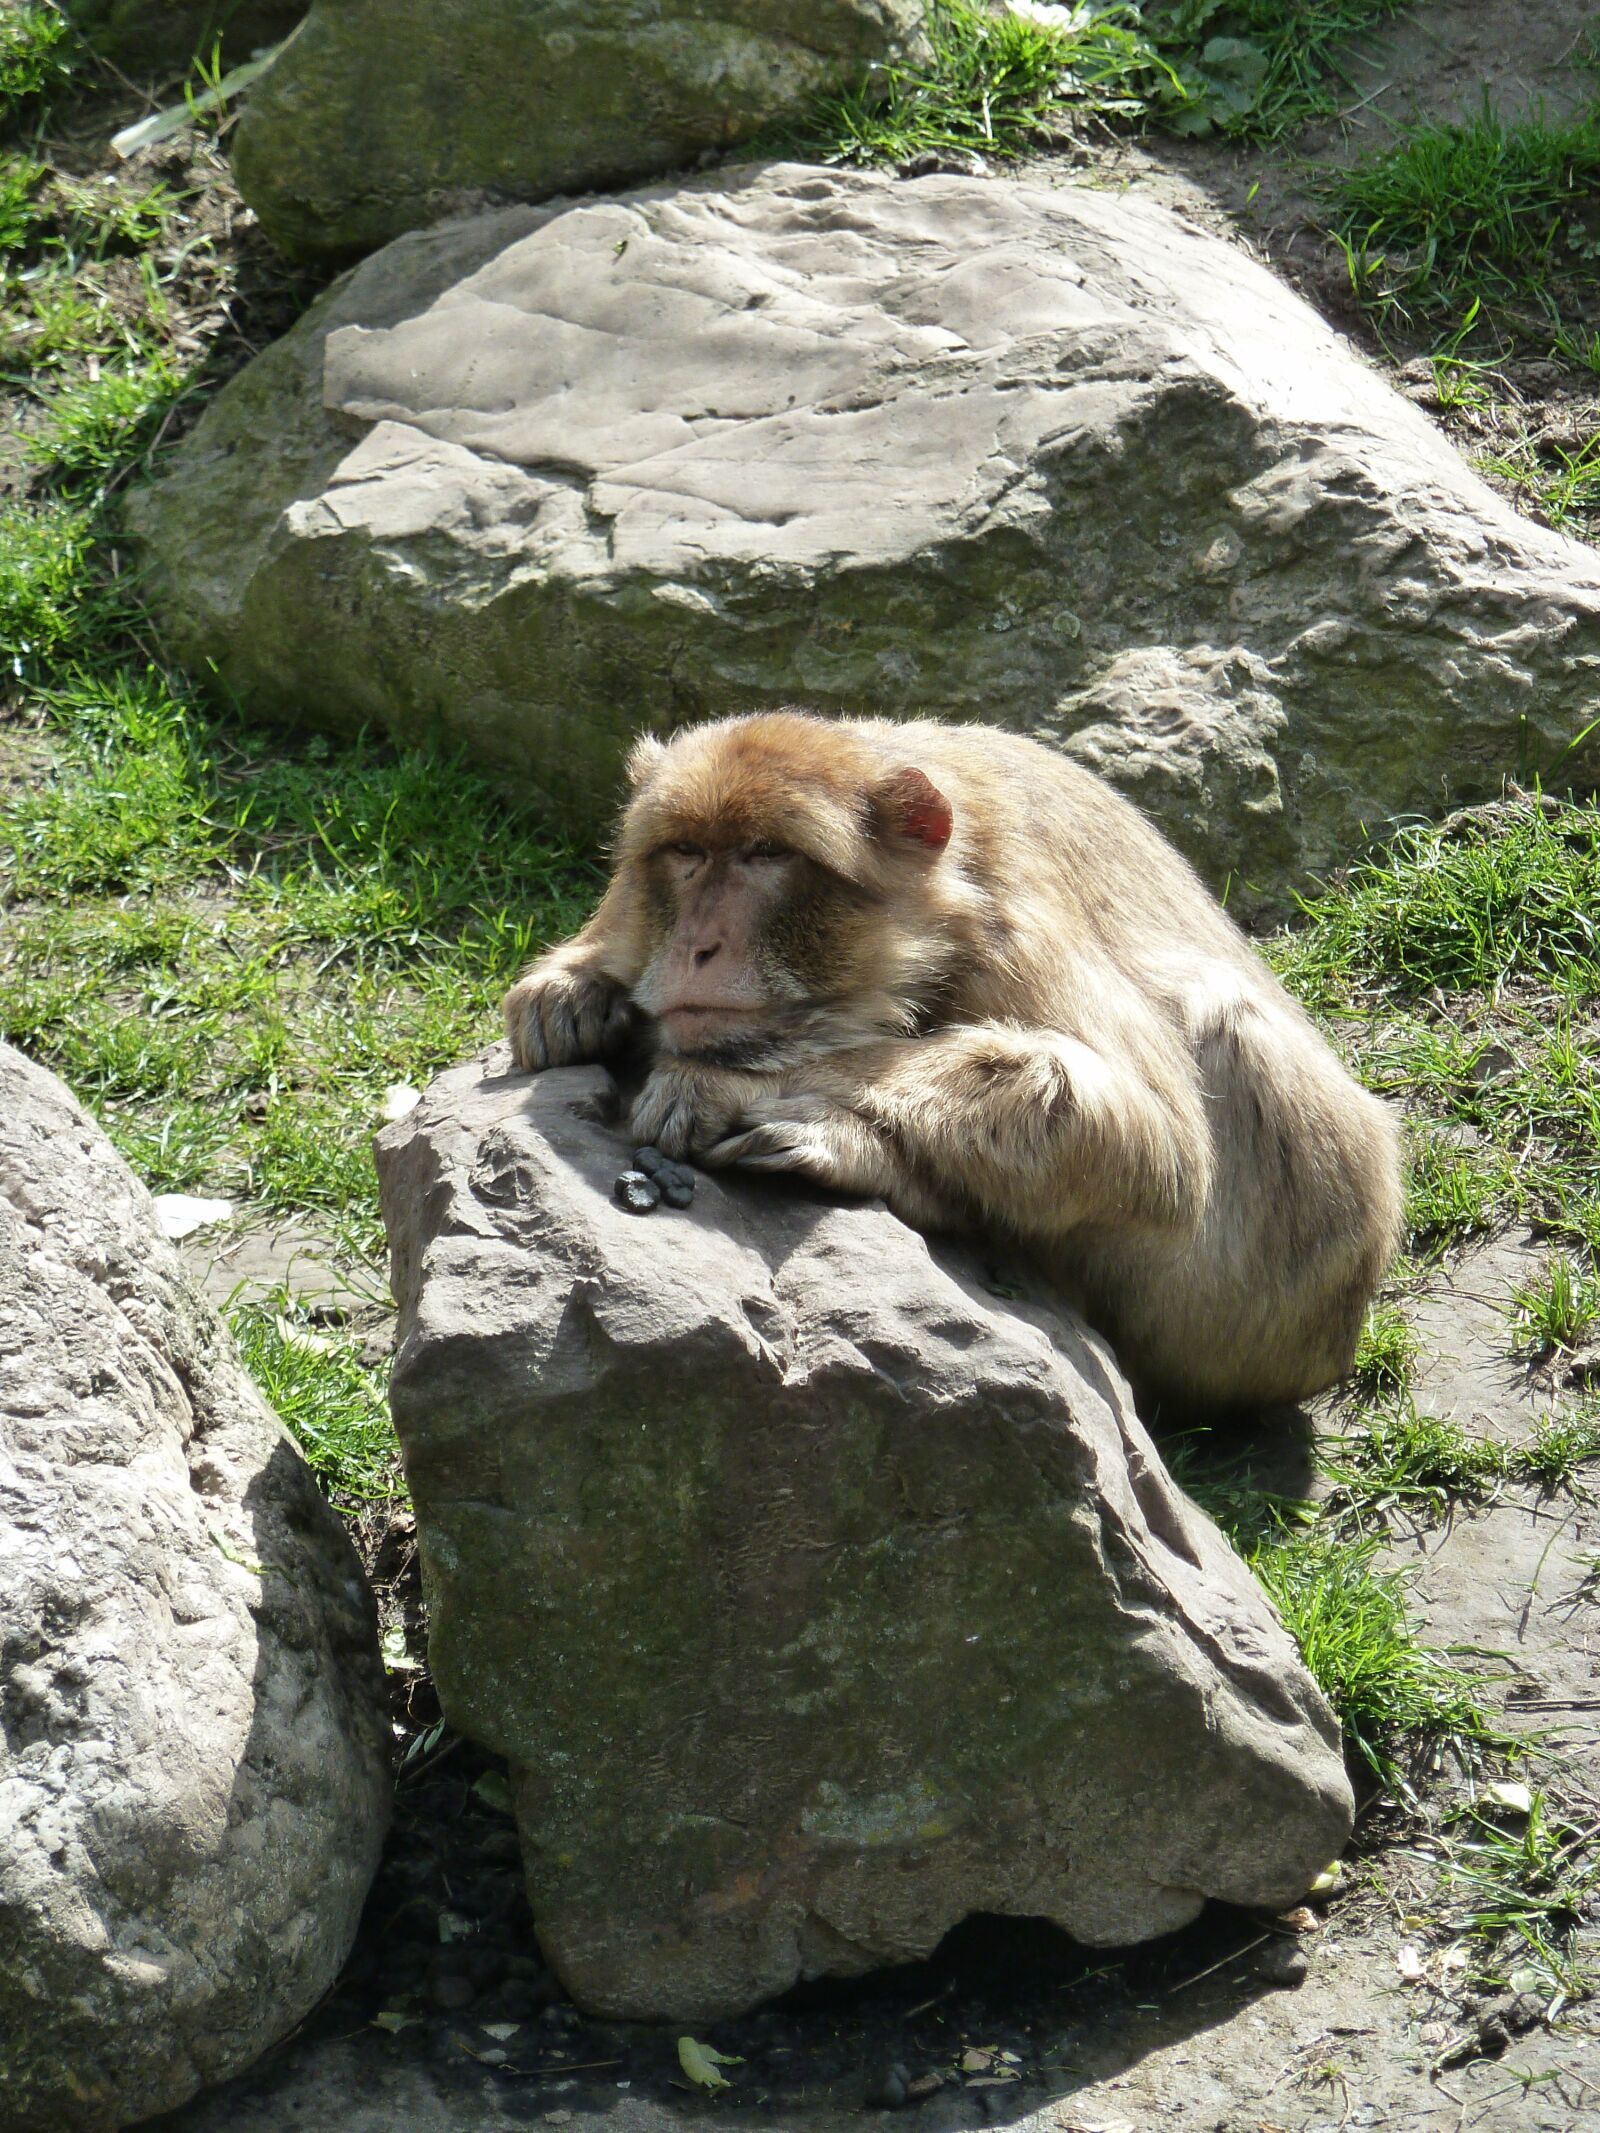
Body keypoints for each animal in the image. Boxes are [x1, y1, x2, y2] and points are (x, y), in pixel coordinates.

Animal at [501, 712, 1399, 1416]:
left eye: (763, 855)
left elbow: (1150, 1141)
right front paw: (571, 993)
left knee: (1221, 1021)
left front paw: (727, 1082)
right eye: (687, 851)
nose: (696, 944)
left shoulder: (1016, 928)